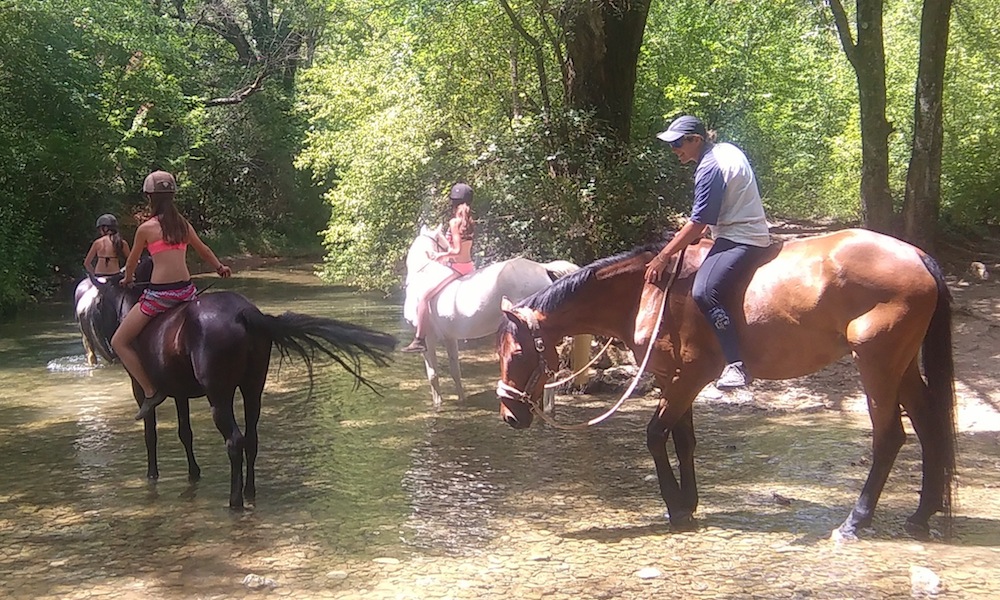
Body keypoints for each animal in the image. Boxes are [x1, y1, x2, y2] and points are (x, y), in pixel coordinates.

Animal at [87, 274, 398, 508]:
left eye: (98, 304)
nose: (106, 348)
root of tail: (244, 314)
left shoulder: (142, 389)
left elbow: (150, 434)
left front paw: (152, 474)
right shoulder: (180, 393)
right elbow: (185, 433)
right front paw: (193, 473)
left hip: (220, 396)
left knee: (235, 441)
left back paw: (235, 500)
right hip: (252, 389)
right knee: (252, 438)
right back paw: (249, 491)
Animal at [404, 226, 580, 408]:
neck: (422, 275)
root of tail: (543, 268)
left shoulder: (428, 339)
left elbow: (433, 374)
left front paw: (437, 405)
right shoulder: (450, 338)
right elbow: (455, 371)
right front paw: (461, 399)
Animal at [496, 229, 956, 540]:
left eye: (516, 354)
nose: (509, 414)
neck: (649, 292)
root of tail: (917, 255)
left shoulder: (691, 376)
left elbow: (655, 434)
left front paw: (675, 507)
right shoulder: (671, 377)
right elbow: (682, 439)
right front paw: (688, 501)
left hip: (876, 363)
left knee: (889, 437)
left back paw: (856, 521)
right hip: (901, 366)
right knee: (930, 428)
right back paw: (922, 513)